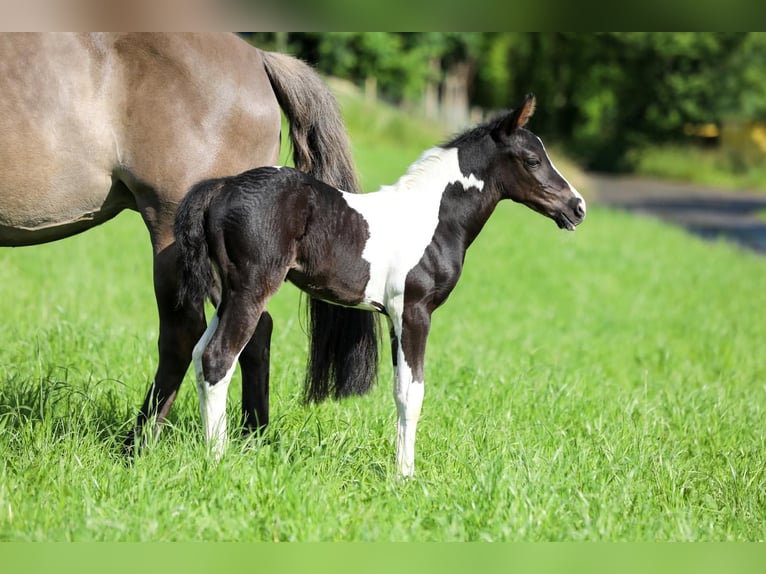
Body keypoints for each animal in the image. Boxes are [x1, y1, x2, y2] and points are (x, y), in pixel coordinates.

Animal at [0, 33, 377, 450]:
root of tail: (259, 59)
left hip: (176, 242)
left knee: (184, 337)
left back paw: (139, 446)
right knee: (250, 334)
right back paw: (253, 436)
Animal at [174, 93, 586, 476]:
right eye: (533, 160)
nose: (577, 207)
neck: (430, 217)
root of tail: (221, 187)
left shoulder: (392, 317)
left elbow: (400, 388)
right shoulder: (414, 312)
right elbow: (411, 392)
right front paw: (405, 474)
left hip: (227, 294)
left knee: (199, 354)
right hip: (251, 291)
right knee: (218, 359)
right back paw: (217, 458)